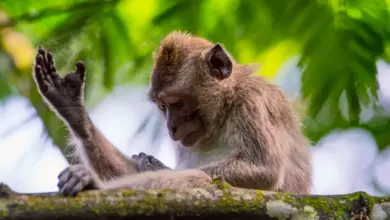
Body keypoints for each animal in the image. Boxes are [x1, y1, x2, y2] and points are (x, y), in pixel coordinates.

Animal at [34, 30, 314, 196]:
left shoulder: (252, 103)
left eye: (177, 104)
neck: (225, 108)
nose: (171, 127)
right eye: (162, 107)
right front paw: (74, 112)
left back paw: (94, 184)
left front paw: (157, 166)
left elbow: (264, 169)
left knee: (200, 179)